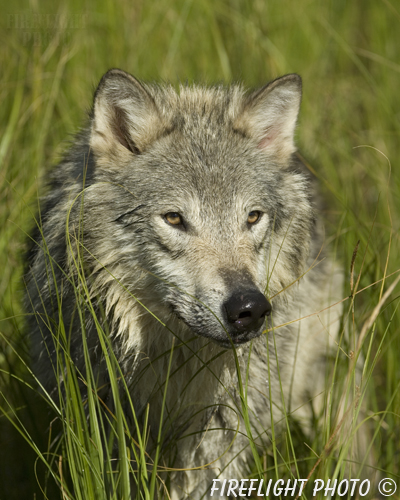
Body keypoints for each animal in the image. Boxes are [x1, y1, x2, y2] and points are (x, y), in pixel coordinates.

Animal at [25, 68, 344, 498]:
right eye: (174, 218)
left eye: (252, 217)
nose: (249, 308)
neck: (176, 359)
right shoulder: (102, 415)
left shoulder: (223, 427)